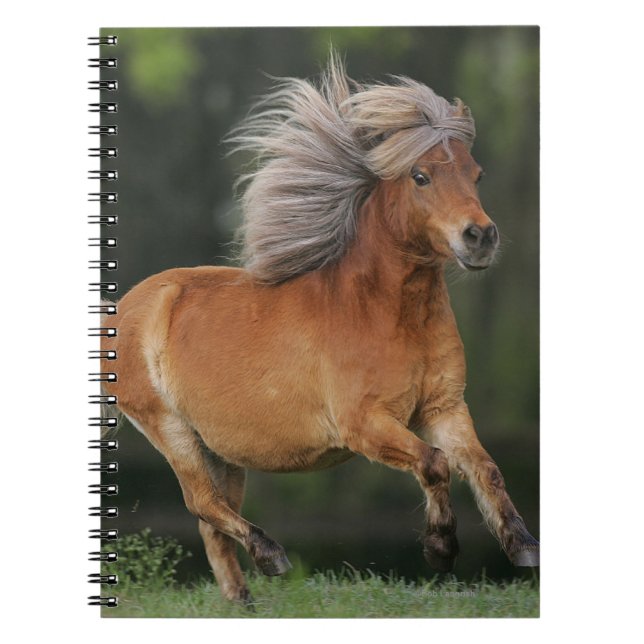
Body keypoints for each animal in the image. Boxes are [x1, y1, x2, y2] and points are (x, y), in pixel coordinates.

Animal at [101, 53, 539, 604]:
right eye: (420, 176)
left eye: (476, 174)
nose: (480, 237)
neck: (388, 315)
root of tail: (121, 310)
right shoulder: (364, 424)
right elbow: (435, 463)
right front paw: (441, 549)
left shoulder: (444, 408)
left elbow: (486, 469)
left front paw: (523, 547)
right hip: (170, 428)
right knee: (202, 503)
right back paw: (272, 556)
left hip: (220, 448)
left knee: (212, 523)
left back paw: (244, 601)